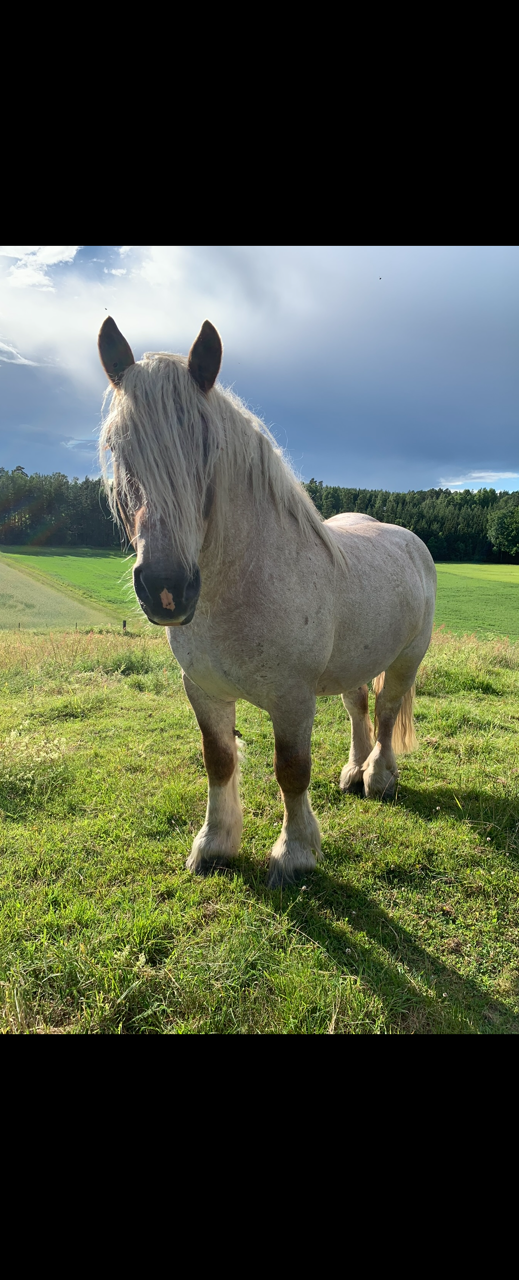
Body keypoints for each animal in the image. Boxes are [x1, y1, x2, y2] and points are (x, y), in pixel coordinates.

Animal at [98, 315, 437, 887]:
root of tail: (410, 540)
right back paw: (353, 770)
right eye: (120, 450)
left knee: (389, 712)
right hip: (353, 660)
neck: (239, 587)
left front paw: (294, 852)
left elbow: (291, 770)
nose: (167, 588)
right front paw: (215, 844)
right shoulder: (203, 690)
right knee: (358, 706)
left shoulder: (292, 699)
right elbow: (218, 760)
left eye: (206, 449)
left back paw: (378, 777)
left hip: (407, 658)